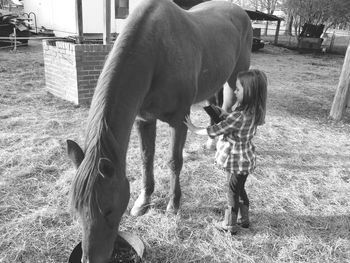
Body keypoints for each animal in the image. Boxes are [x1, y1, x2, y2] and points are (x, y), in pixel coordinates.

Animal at [65, 1, 252, 262]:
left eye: (109, 210)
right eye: (76, 208)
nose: (91, 258)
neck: (156, 53)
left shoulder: (179, 121)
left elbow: (174, 161)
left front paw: (173, 205)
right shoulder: (144, 120)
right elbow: (146, 158)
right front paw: (143, 201)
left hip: (236, 78)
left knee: (228, 106)